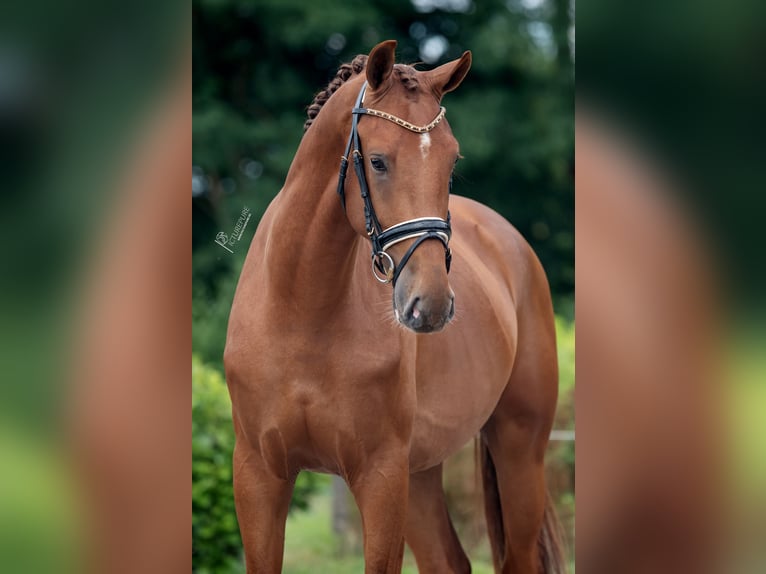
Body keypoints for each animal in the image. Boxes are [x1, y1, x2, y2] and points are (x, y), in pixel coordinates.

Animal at [225, 41, 568, 574]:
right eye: (379, 161)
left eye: (451, 162)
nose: (431, 304)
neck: (302, 313)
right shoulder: (258, 476)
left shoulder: (380, 477)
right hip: (422, 473)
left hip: (519, 450)